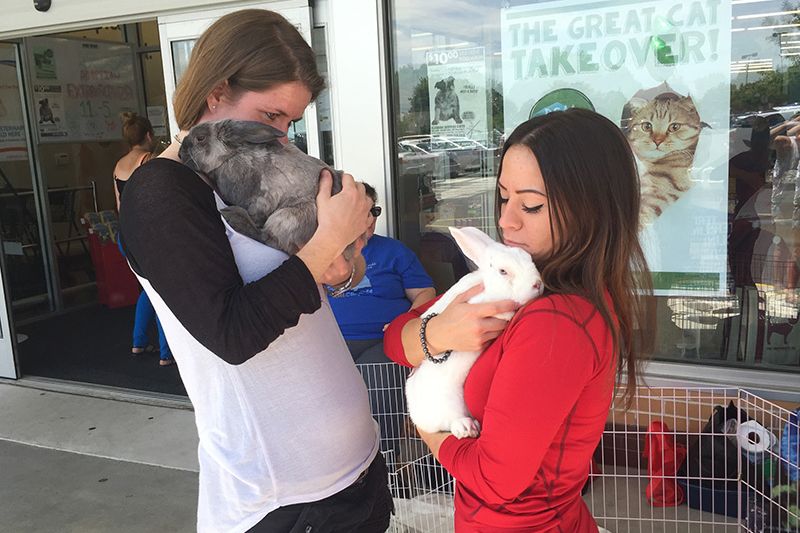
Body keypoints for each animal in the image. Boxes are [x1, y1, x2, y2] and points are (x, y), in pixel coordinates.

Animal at [181, 120, 350, 256]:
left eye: (200, 138)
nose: (181, 153)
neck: (231, 156)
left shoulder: (260, 201)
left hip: (287, 217)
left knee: (266, 237)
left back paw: (233, 216)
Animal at [406, 227, 544, 438]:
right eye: (503, 271)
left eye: (530, 258)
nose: (537, 284)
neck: (487, 286)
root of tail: (416, 415)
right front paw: (511, 311)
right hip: (447, 405)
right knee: (449, 422)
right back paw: (466, 428)